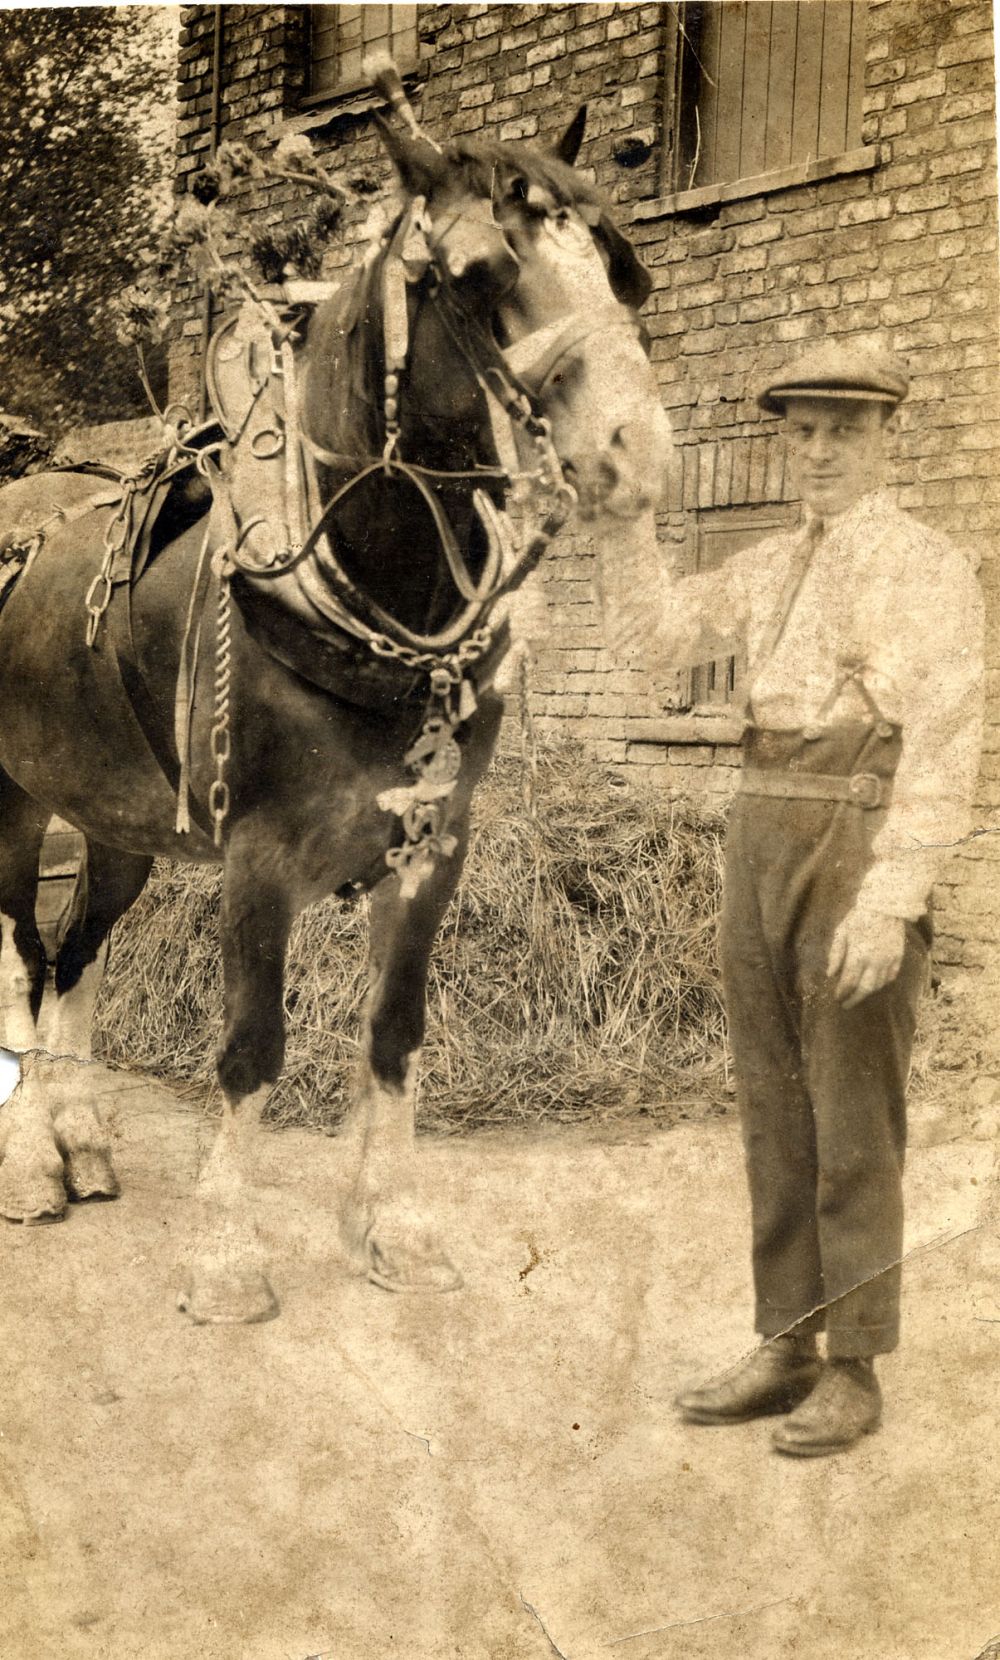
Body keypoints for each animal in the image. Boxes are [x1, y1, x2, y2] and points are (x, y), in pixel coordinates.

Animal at [0, 103, 674, 1321]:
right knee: (22, 963)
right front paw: (226, 1254)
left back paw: (80, 1140)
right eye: (476, 271)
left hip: (119, 821)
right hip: (13, 804)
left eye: (620, 265)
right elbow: (251, 1048)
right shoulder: (258, 856)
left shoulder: (430, 845)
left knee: (74, 959)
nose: (632, 452)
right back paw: (32, 1160)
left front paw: (391, 1226)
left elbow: (396, 1036)